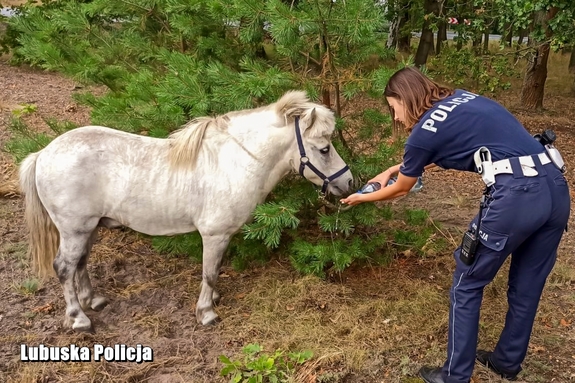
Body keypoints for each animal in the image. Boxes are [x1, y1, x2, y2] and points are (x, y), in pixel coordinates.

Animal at [18, 91, 354, 332]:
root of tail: (44, 153)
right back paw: (78, 319)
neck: (233, 162)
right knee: (64, 267)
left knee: (80, 263)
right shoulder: (215, 235)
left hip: (88, 228)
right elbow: (209, 272)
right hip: (74, 230)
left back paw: (94, 300)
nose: (349, 182)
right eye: (324, 149)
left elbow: (214, 271)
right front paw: (206, 312)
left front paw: (213, 299)